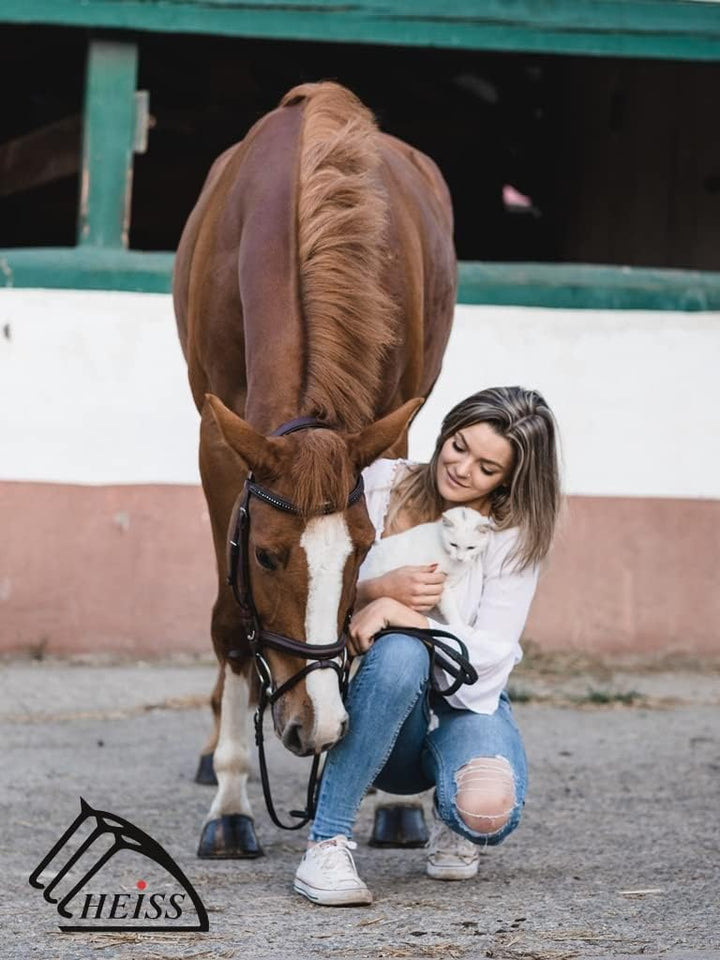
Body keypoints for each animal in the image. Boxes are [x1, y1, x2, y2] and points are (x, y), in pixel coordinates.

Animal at [173, 82, 456, 858]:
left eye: (359, 555)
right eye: (267, 557)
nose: (317, 724)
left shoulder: (388, 430)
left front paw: (394, 798)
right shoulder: (220, 442)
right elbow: (229, 620)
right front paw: (232, 804)